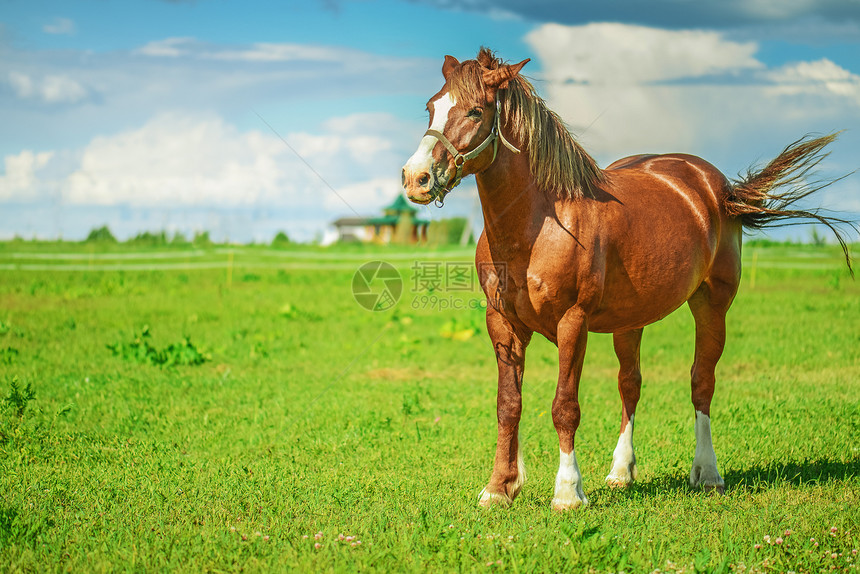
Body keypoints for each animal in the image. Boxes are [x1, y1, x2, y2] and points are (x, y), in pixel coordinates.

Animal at [400, 47, 856, 510]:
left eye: (476, 111)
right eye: (431, 107)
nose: (416, 178)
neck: (537, 226)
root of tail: (718, 187)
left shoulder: (572, 323)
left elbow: (565, 406)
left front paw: (568, 492)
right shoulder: (502, 323)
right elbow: (508, 404)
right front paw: (499, 487)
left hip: (712, 305)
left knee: (702, 383)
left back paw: (707, 473)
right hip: (630, 320)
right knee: (630, 385)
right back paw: (621, 472)